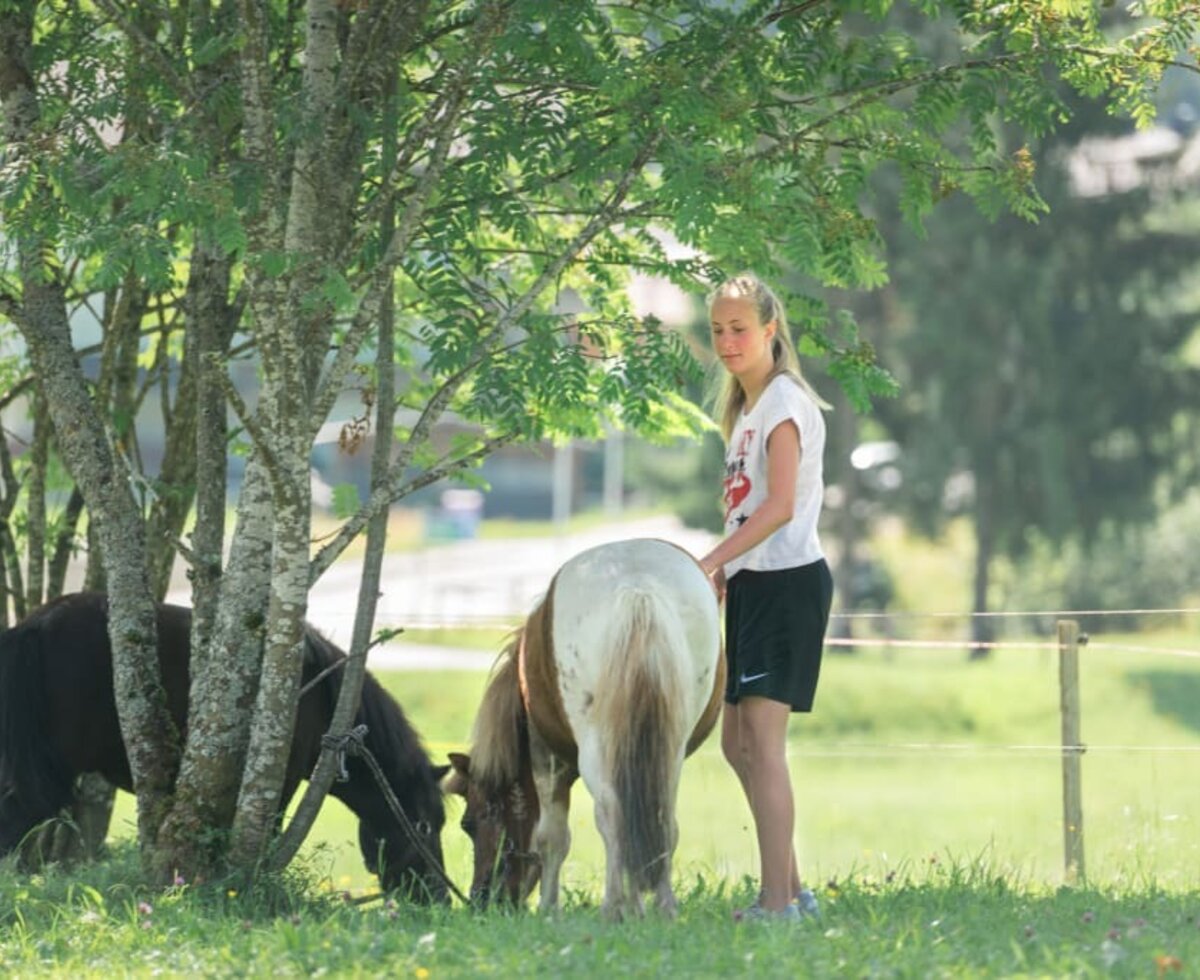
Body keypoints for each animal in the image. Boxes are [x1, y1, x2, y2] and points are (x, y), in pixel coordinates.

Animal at [444, 534, 715, 916]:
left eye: (468, 823)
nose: (482, 899)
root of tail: (638, 587)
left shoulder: (545, 758)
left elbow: (552, 838)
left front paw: (549, 911)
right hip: (668, 748)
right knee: (656, 817)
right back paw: (661, 909)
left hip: (597, 749)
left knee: (613, 815)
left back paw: (615, 909)